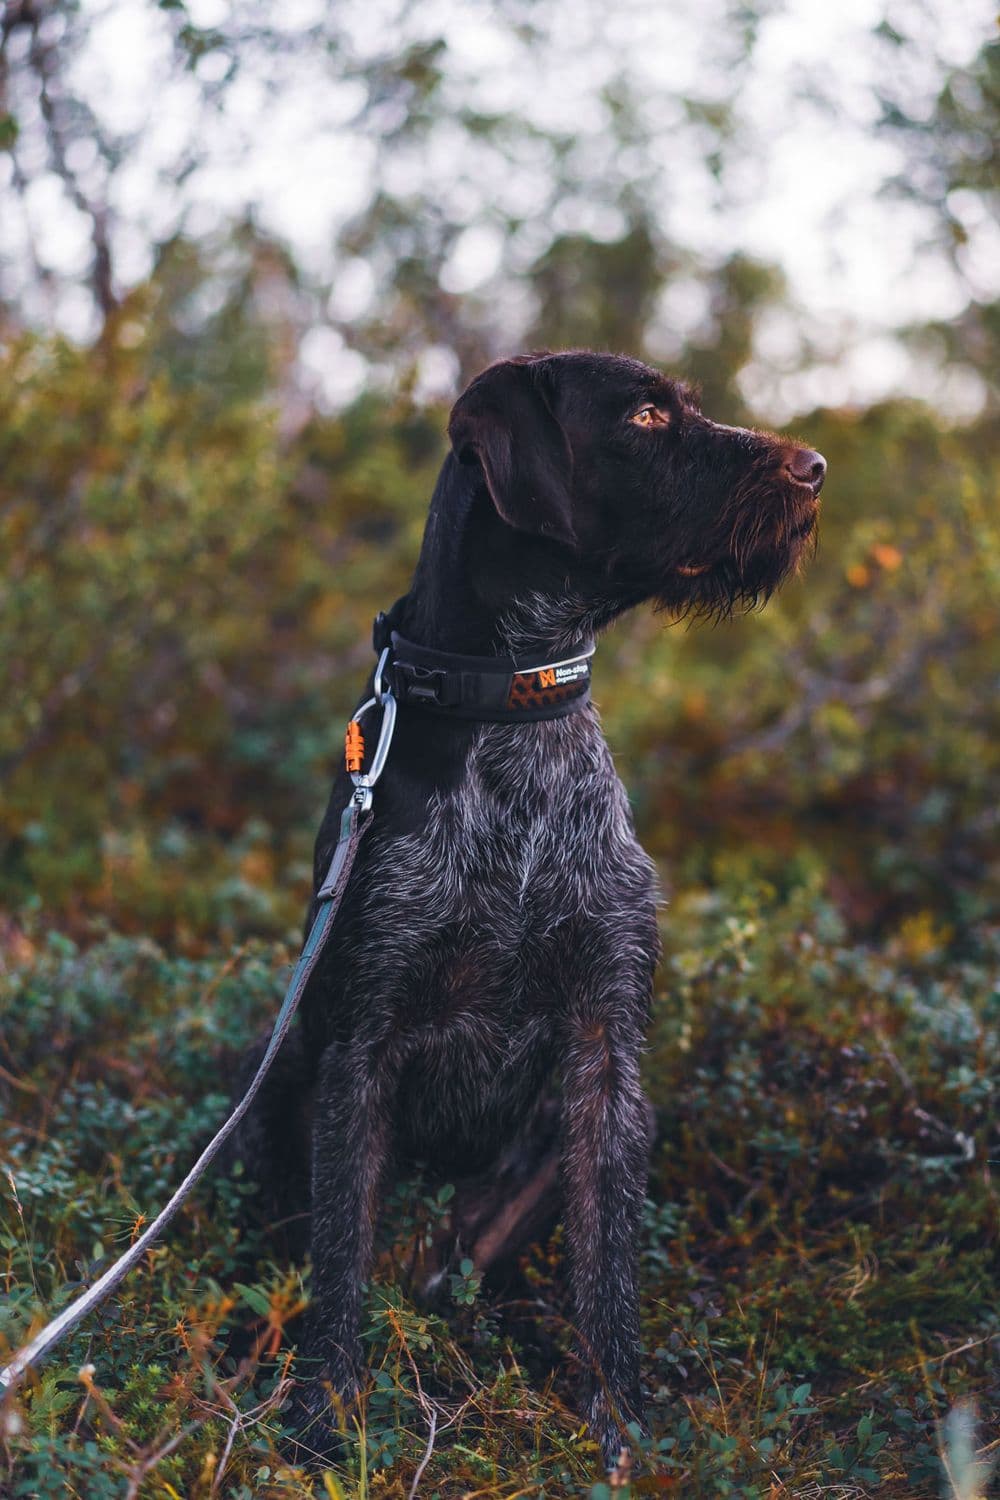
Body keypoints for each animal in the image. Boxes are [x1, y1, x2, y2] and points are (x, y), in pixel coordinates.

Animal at [236, 348, 827, 1464]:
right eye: (647, 416)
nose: (815, 467)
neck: (513, 706)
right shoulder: (359, 1043)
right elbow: (338, 1256)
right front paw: (327, 1414)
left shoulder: (607, 1051)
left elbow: (609, 1269)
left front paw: (619, 1423)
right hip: (280, 1068)